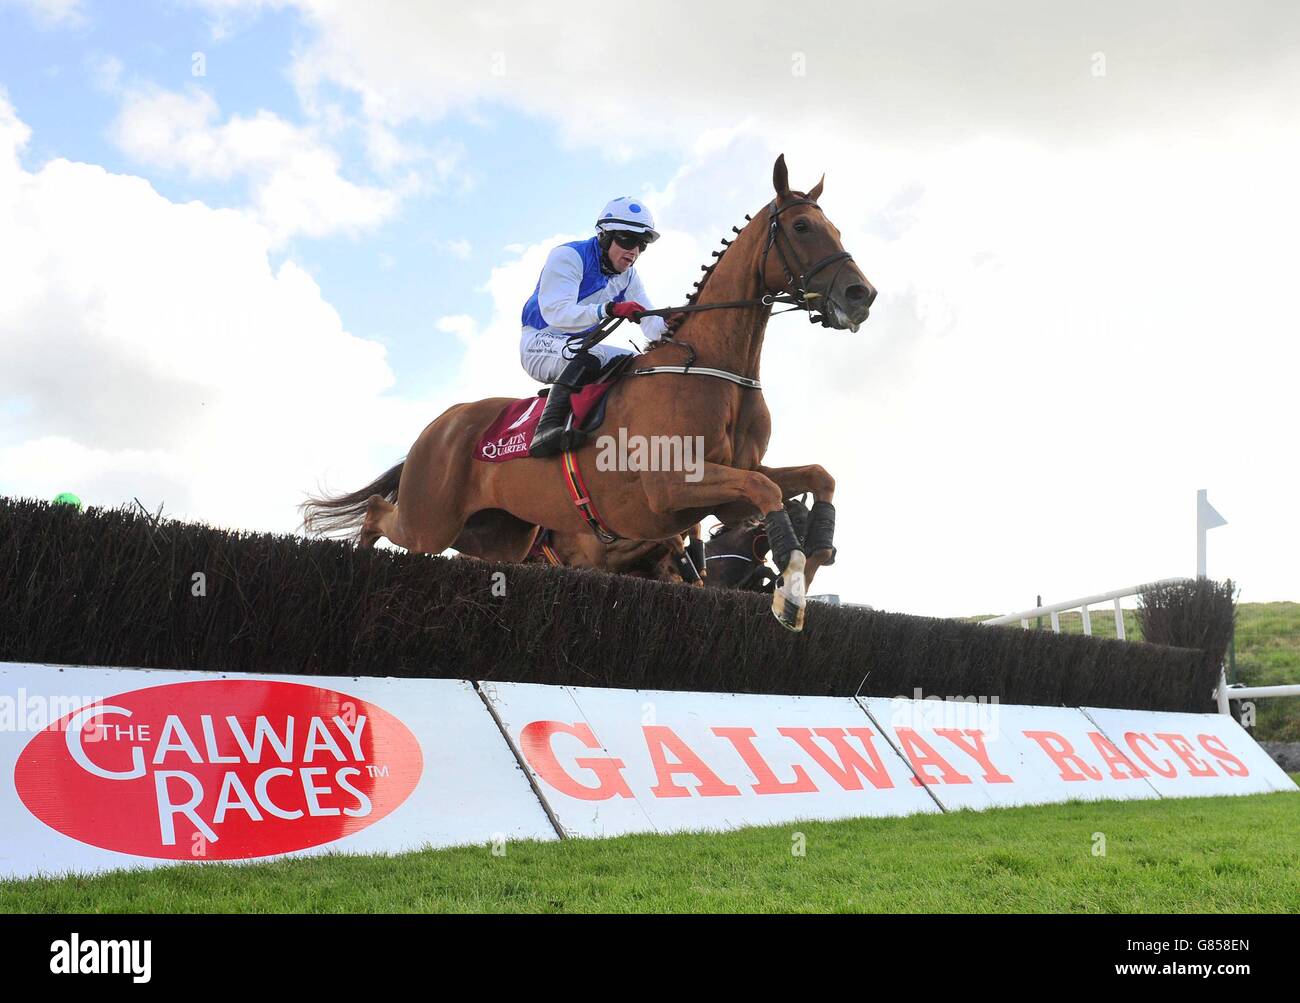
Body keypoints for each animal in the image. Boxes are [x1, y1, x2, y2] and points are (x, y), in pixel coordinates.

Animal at [302, 154, 873, 626]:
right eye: (802, 226)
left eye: (837, 227)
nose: (860, 294)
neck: (715, 370)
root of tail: (438, 426)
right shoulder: (671, 487)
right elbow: (767, 489)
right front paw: (791, 589)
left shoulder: (728, 489)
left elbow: (815, 477)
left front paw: (807, 568)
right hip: (431, 520)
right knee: (378, 513)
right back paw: (360, 565)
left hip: (497, 535)